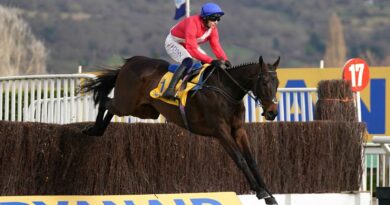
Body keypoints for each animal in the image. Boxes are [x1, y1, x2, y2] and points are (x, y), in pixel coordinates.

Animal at [80, 55, 280, 204]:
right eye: (264, 83)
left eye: (277, 83)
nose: (272, 112)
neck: (226, 89)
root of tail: (131, 61)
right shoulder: (220, 131)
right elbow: (240, 159)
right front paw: (261, 192)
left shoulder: (238, 130)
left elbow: (252, 160)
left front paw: (269, 195)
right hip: (127, 103)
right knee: (105, 101)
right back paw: (94, 129)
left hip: (144, 110)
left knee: (111, 107)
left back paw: (97, 130)